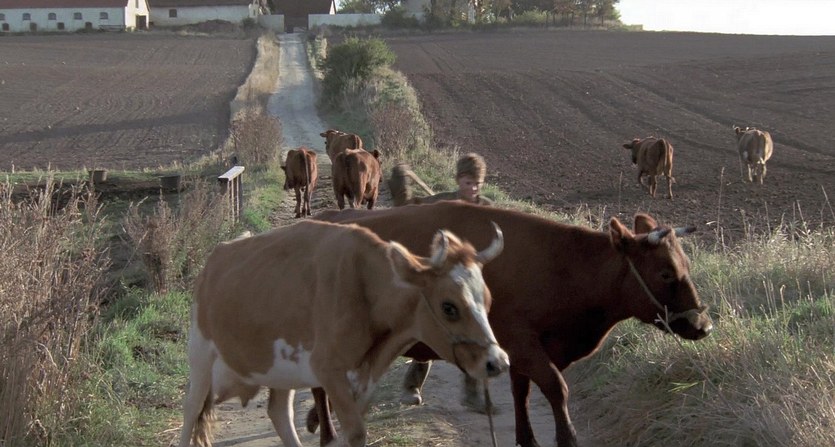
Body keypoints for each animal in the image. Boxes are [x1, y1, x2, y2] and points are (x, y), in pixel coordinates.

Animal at [178, 219, 509, 447]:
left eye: (488, 300)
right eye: (449, 307)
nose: (498, 362)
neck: (364, 287)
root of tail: (217, 255)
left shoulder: (361, 380)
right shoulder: (329, 371)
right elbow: (356, 433)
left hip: (281, 370)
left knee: (279, 413)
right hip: (200, 353)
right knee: (191, 409)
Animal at [307, 201, 713, 447]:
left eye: (685, 266)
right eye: (665, 272)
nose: (704, 325)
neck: (562, 266)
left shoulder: (519, 353)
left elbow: (522, 393)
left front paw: (527, 439)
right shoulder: (525, 345)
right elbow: (556, 389)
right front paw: (567, 439)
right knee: (317, 386)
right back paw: (326, 432)